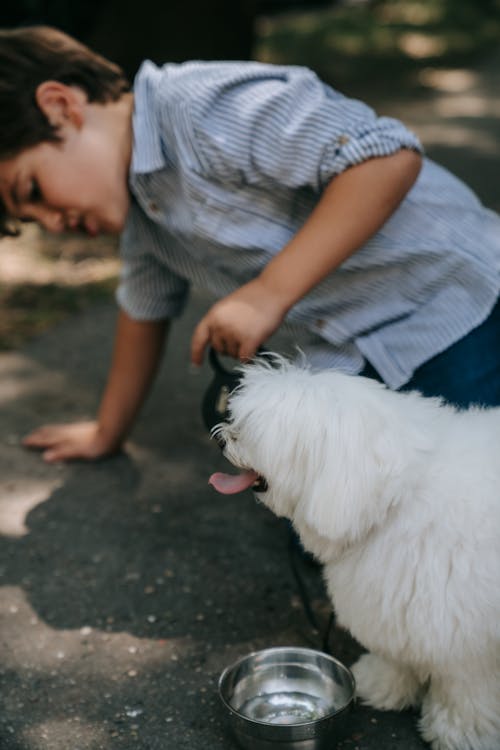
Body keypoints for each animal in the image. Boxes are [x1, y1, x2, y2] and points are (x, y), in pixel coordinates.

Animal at [209, 358, 500, 750]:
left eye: (251, 432)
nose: (221, 436)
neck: (395, 501)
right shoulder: (394, 605)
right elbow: (396, 656)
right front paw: (381, 683)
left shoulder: (468, 641)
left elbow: (466, 693)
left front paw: (463, 734)